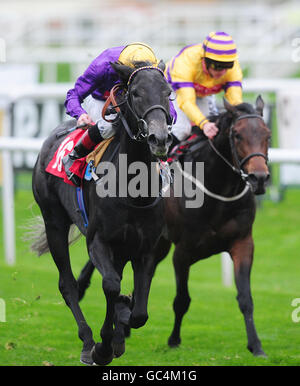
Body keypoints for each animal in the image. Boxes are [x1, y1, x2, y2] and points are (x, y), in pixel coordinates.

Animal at [29, 60, 173, 364]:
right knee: (68, 285)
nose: (159, 138)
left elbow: (139, 312)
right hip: (54, 222)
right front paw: (103, 346)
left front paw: (121, 325)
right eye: (136, 93)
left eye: (168, 92)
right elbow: (110, 286)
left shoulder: (145, 248)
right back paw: (87, 341)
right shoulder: (98, 241)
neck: (134, 190)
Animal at [76, 95, 270, 358]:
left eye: (267, 134)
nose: (259, 178)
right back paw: (83, 288)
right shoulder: (183, 251)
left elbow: (245, 298)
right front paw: (174, 339)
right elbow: (182, 300)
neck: (218, 191)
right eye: (238, 135)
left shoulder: (243, 243)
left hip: (157, 244)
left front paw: (256, 345)